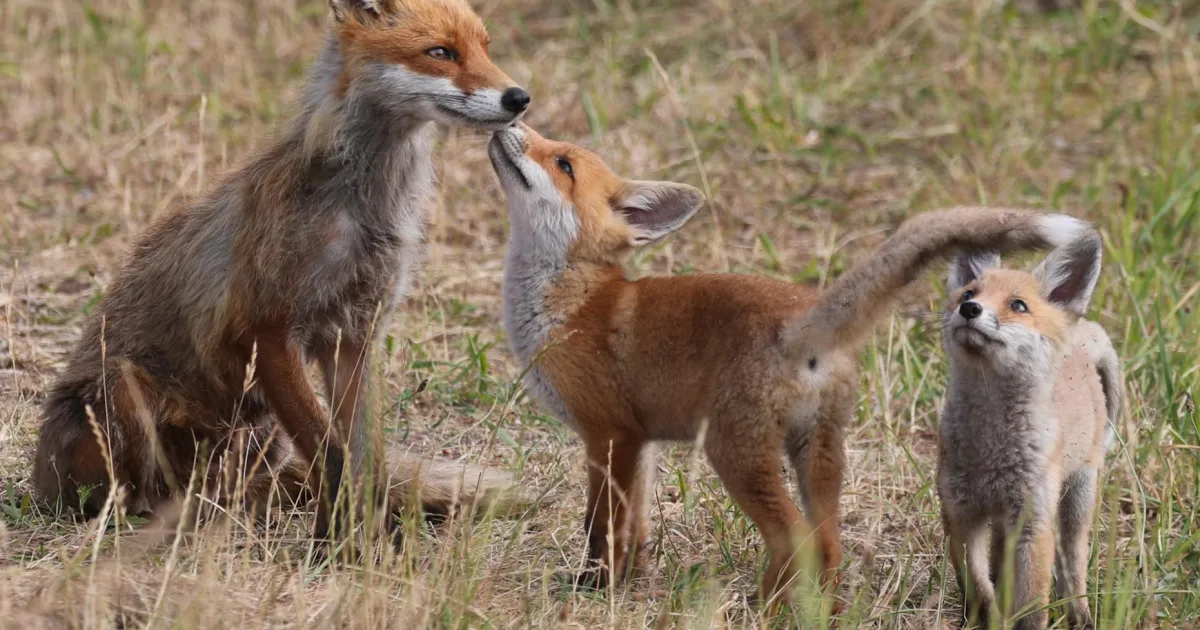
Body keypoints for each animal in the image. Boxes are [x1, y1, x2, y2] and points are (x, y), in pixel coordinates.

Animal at [33, 0, 531, 544]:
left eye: (485, 49)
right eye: (441, 53)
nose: (519, 97)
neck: (365, 208)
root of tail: (39, 479)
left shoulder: (354, 335)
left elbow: (364, 458)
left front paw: (360, 538)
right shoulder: (270, 331)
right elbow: (333, 457)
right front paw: (351, 543)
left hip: (261, 433)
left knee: (235, 490)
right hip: (126, 388)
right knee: (140, 495)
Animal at [487, 122, 1098, 607]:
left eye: (562, 163)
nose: (512, 116)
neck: (571, 303)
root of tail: (802, 314)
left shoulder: (607, 435)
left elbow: (599, 527)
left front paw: (594, 589)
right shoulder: (641, 443)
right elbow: (634, 529)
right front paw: (629, 584)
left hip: (734, 453)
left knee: (795, 539)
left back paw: (762, 609)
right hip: (818, 455)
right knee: (829, 544)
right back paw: (814, 611)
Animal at [937, 232, 1120, 629]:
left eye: (1017, 305)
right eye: (968, 293)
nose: (970, 310)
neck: (990, 451)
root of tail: (1082, 331)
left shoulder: (1033, 522)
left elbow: (1032, 604)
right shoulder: (960, 512)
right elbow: (977, 582)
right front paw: (986, 615)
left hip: (1078, 495)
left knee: (1072, 561)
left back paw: (1080, 613)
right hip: (1003, 519)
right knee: (999, 560)